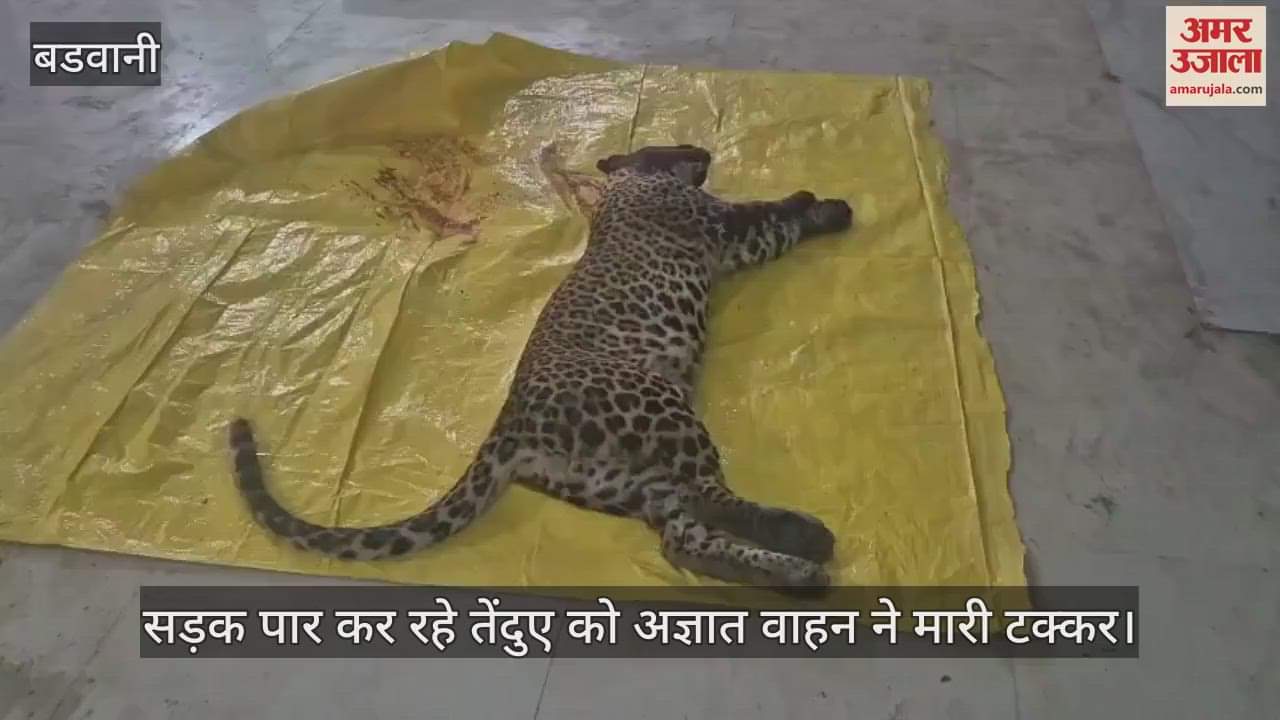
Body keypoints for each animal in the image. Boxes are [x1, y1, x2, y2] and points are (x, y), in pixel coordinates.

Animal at [229, 144, 855, 591]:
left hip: (624, 479)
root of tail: (511, 425)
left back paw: (801, 576)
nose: (703, 151)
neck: (620, 183)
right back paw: (805, 537)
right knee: (705, 498)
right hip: (661, 408)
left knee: (684, 540)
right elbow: (774, 216)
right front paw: (824, 205)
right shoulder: (725, 230)